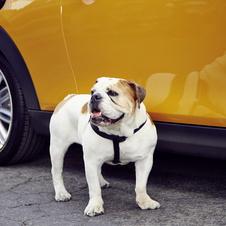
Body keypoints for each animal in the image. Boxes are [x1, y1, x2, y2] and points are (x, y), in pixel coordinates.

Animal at [49, 77, 160, 216]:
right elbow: (94, 188)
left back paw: (101, 181)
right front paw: (94, 206)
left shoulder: (144, 160)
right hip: (58, 147)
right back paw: (61, 193)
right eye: (92, 91)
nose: (94, 96)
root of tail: (69, 97)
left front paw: (145, 201)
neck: (119, 132)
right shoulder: (91, 161)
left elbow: (141, 184)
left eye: (112, 93)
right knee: (57, 171)